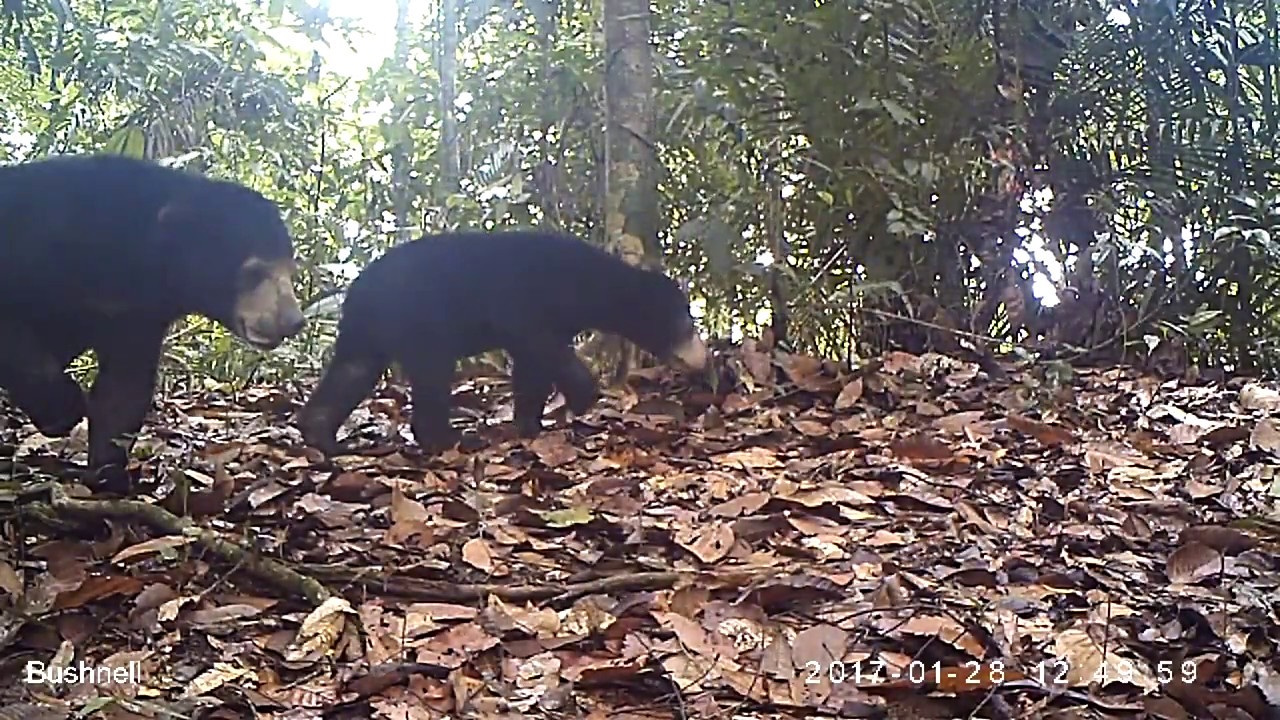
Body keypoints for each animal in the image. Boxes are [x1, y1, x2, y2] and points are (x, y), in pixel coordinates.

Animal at [0, 154, 307, 494]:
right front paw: (63, 410)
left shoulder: (137, 316)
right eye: (254, 271)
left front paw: (109, 476)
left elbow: (123, 390)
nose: (293, 321)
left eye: (290, 272)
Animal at [297, 230, 708, 456]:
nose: (703, 359)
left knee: (353, 369)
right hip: (421, 319)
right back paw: (446, 438)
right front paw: (581, 398)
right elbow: (538, 346)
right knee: (431, 372)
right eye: (686, 324)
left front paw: (530, 423)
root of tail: (356, 290)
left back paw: (321, 435)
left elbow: (532, 368)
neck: (590, 283)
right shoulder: (523, 301)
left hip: (369, 331)